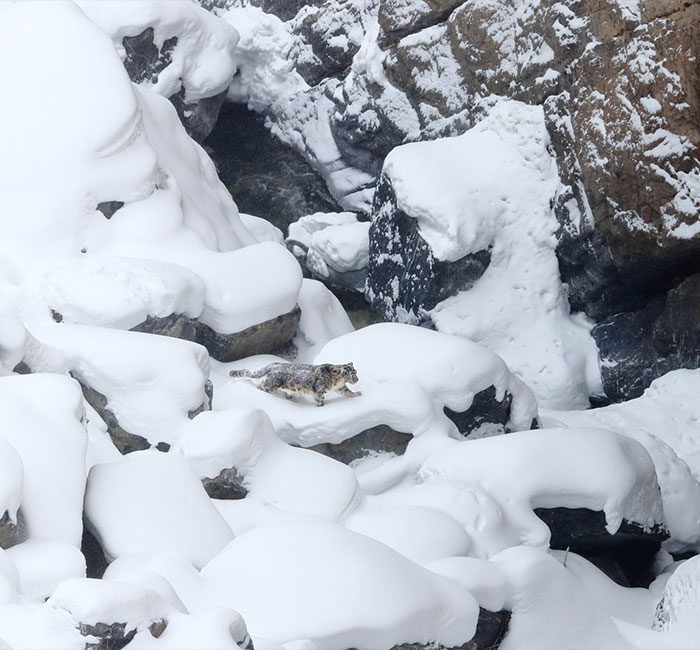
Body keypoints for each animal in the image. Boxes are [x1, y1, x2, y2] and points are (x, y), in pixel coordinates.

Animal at [229, 362, 361, 407]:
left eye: (356, 371)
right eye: (352, 374)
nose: (357, 379)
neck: (337, 382)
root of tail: (274, 365)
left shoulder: (341, 387)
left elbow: (347, 392)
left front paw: (357, 394)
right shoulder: (319, 391)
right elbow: (319, 400)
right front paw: (322, 407)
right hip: (271, 384)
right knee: (261, 386)